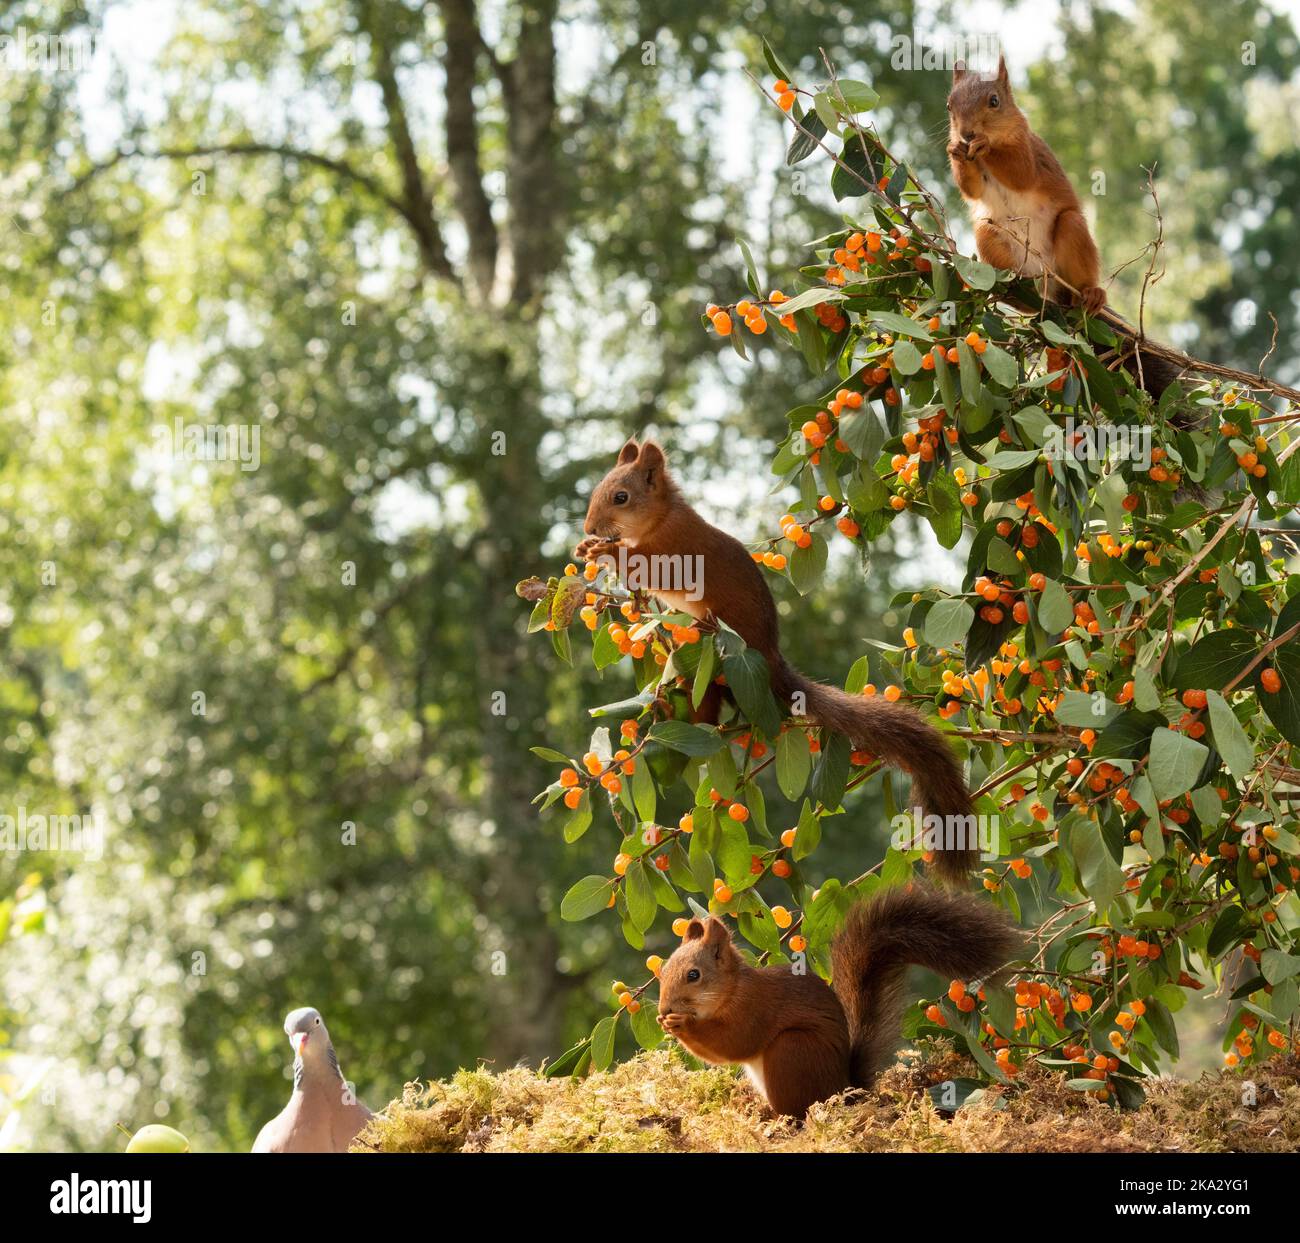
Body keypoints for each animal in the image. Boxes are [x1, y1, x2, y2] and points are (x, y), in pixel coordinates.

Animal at [576, 438, 979, 885]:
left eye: (621, 497)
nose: (589, 528)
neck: (660, 517)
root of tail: (769, 656)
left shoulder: (672, 550)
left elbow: (642, 566)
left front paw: (605, 550)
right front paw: (587, 548)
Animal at [656, 885, 1023, 1117]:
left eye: (693, 975)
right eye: (665, 968)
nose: (663, 1009)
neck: (731, 989)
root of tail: (844, 1090)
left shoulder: (755, 1008)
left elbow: (734, 1042)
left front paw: (682, 1024)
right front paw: (668, 1022)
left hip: (793, 1052)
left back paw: (778, 1117)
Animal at [947, 55, 1181, 396]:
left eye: (994, 101)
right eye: (949, 105)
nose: (965, 133)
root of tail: (1051, 289)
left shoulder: (1028, 151)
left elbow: (1019, 171)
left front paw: (985, 144)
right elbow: (971, 189)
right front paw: (956, 152)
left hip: (1071, 233)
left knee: (1077, 264)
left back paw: (1091, 295)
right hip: (989, 235)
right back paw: (1013, 290)